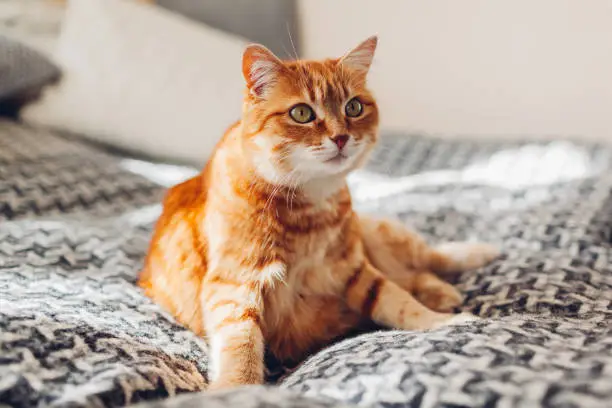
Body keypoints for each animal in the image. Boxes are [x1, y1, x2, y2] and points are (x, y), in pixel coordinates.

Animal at [139, 36, 498, 390]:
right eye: (302, 113)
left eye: (353, 107)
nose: (341, 137)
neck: (307, 209)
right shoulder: (234, 285)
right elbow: (241, 344)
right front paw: (236, 388)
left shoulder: (353, 268)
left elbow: (398, 301)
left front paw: (443, 322)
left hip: (378, 233)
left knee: (427, 259)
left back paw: (471, 263)